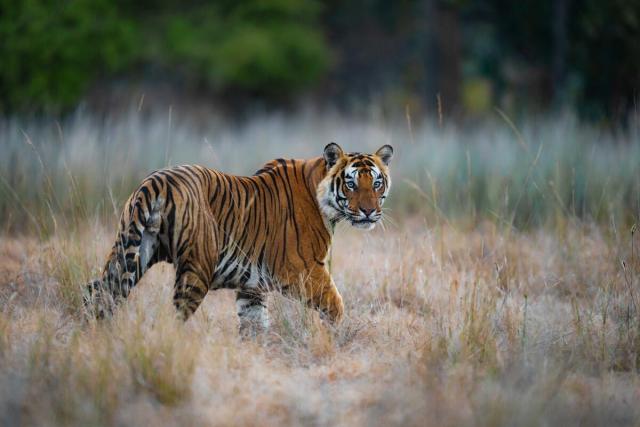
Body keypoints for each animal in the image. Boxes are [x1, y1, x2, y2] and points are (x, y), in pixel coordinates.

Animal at [86, 142, 393, 334]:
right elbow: (335, 306)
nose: (369, 211)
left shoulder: (252, 287)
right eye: (351, 183)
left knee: (96, 292)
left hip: (131, 252)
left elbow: (254, 326)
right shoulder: (304, 270)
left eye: (377, 183)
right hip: (196, 269)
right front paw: (334, 338)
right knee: (172, 316)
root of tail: (157, 181)